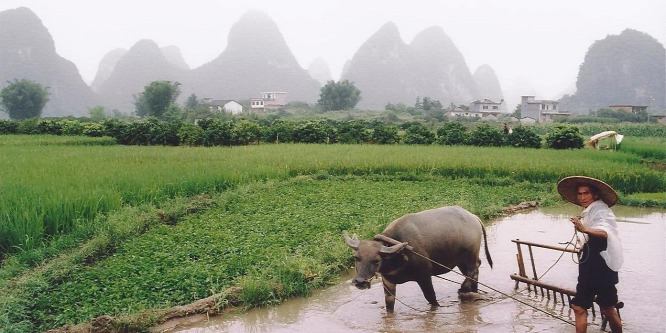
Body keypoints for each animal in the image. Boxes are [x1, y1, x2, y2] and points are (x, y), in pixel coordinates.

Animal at [342, 205, 492, 312]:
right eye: (356, 257)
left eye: (376, 260)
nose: (360, 282)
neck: (397, 255)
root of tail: (473, 217)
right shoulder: (388, 281)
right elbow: (389, 304)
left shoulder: (424, 276)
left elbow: (431, 298)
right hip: (461, 261)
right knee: (474, 272)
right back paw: (472, 291)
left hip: (470, 255)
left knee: (475, 268)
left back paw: (464, 290)